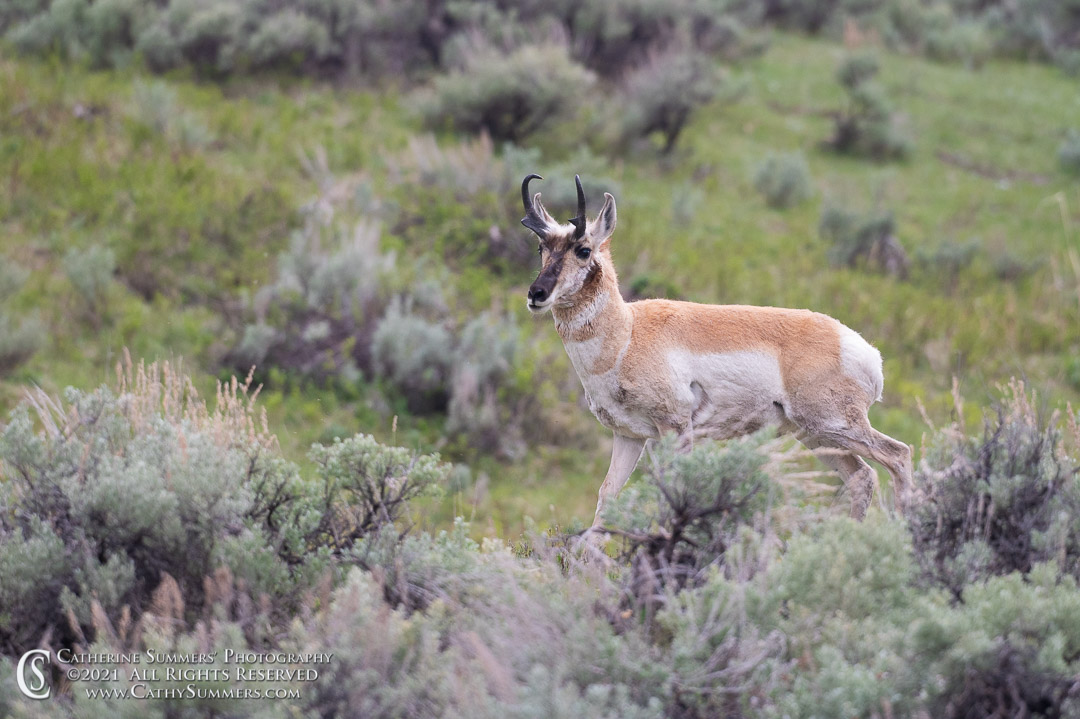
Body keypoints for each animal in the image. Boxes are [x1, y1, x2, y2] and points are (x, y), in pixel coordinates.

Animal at [520, 174, 913, 535]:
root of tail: (865, 351)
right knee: (862, 477)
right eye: (541, 248)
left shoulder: (676, 430)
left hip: (835, 425)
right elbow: (607, 498)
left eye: (583, 250)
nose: (536, 294)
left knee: (898, 455)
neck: (627, 333)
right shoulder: (630, 436)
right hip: (816, 436)